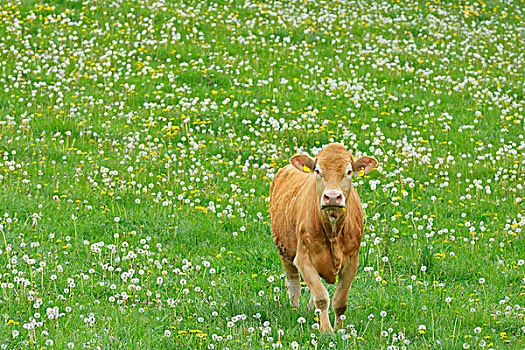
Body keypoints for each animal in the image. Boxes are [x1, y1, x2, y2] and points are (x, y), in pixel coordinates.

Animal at [270, 144, 376, 332]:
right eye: (318, 171)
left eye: (349, 171)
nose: (332, 196)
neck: (334, 232)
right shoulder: (303, 259)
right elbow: (321, 297)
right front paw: (326, 330)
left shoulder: (352, 262)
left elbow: (340, 301)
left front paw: (339, 330)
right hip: (284, 252)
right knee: (293, 284)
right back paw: (295, 310)